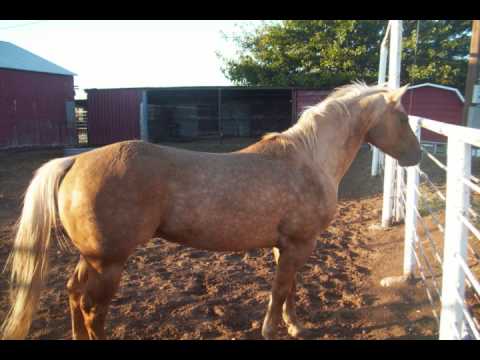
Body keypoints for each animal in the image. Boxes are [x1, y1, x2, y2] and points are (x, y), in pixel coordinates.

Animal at [0, 83, 420, 338]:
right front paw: (272, 329)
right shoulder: (299, 243)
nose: (416, 156)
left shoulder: (288, 246)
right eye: (401, 117)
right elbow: (282, 287)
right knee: (91, 307)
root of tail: (75, 161)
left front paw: (294, 325)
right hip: (110, 263)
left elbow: (289, 288)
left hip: (93, 257)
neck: (308, 160)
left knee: (73, 294)